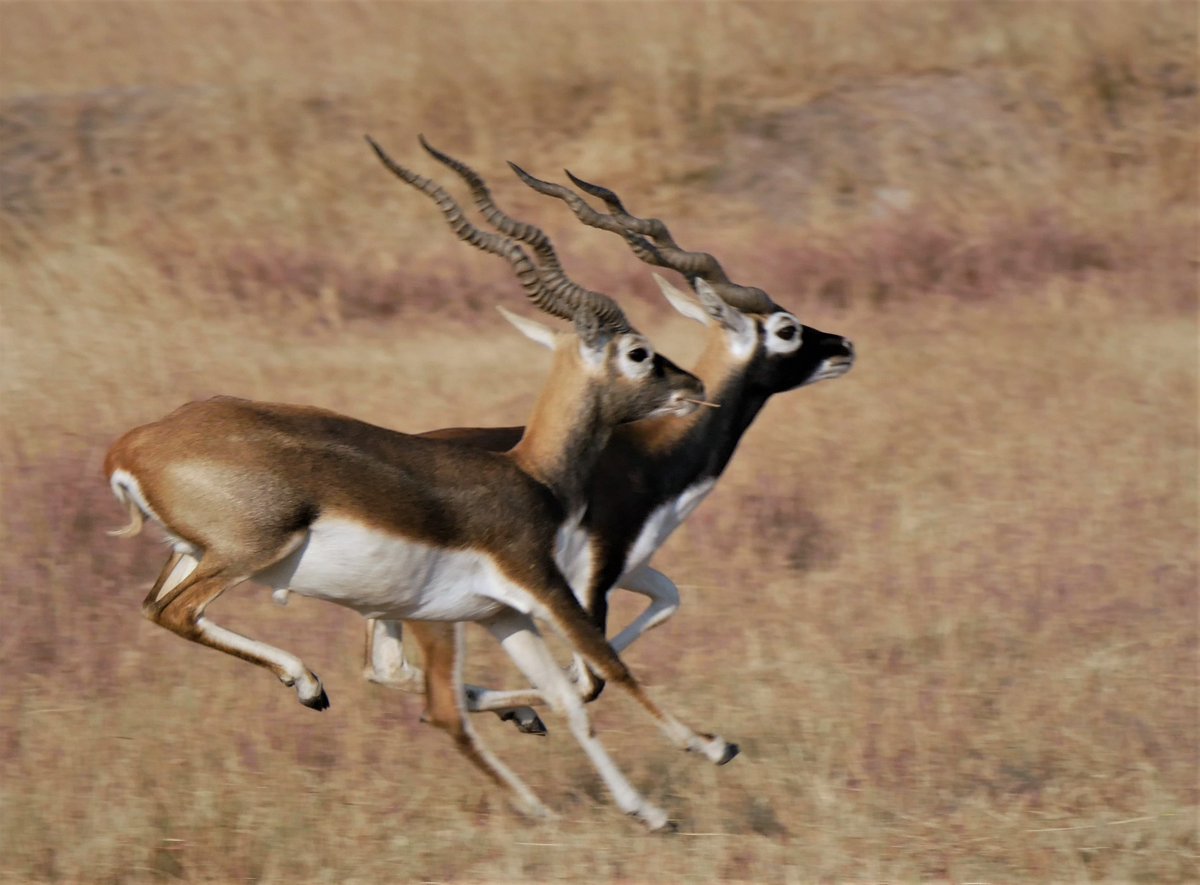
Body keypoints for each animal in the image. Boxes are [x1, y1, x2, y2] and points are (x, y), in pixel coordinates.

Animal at [105, 139, 729, 834]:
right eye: (639, 353)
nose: (693, 387)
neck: (528, 473)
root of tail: (133, 446)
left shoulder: (503, 613)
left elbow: (570, 696)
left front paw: (645, 807)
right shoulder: (542, 586)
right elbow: (609, 666)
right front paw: (710, 747)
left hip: (193, 555)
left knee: (155, 609)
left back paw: (313, 686)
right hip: (251, 553)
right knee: (177, 612)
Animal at [362, 141, 854, 729]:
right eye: (786, 329)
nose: (844, 346)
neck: (653, 454)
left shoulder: (629, 568)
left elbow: (665, 603)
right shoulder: (591, 575)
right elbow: (591, 676)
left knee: (383, 666)